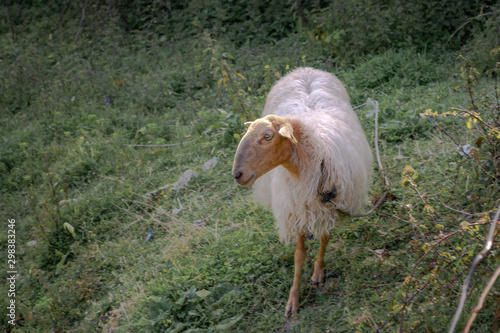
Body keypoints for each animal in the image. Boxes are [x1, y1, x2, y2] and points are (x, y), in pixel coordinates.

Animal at [232, 66, 374, 316]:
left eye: (267, 136)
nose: (237, 174)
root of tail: (306, 70)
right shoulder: (295, 209)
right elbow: (298, 257)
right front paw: (293, 299)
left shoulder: (329, 204)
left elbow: (325, 238)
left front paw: (318, 272)